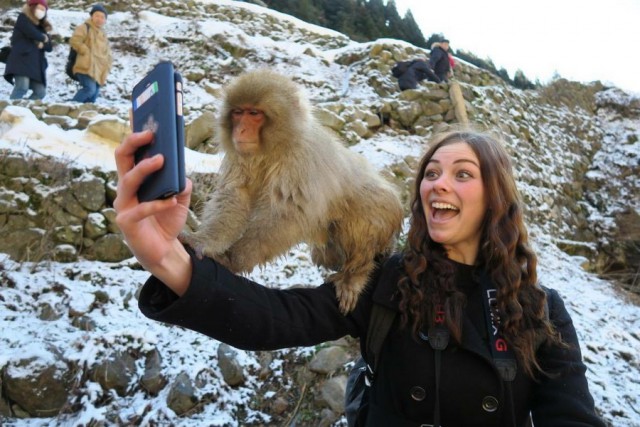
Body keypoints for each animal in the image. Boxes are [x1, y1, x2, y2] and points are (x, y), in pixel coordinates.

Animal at [186, 70, 404, 314]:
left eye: (254, 113)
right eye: (238, 113)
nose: (239, 130)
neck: (275, 147)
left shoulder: (300, 160)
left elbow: (289, 215)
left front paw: (234, 259)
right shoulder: (242, 155)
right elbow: (235, 195)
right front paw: (204, 241)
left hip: (384, 213)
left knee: (360, 219)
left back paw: (356, 274)